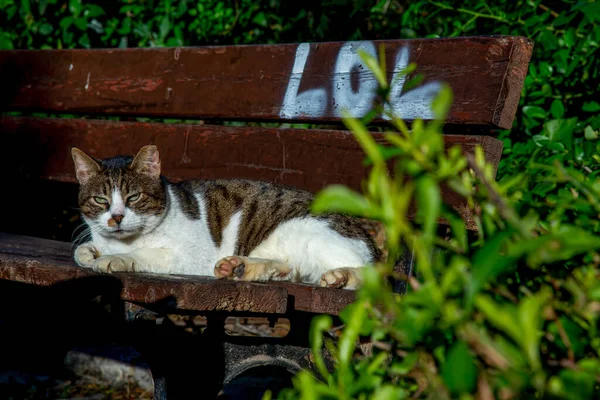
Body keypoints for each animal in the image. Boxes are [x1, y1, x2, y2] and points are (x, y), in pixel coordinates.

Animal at [70, 145, 380, 290]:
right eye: (101, 200)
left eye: (133, 198)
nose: (116, 218)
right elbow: (81, 250)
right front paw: (90, 251)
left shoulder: (191, 258)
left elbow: (144, 255)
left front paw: (114, 259)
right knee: (291, 269)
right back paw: (241, 268)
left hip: (312, 235)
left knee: (375, 279)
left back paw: (341, 277)